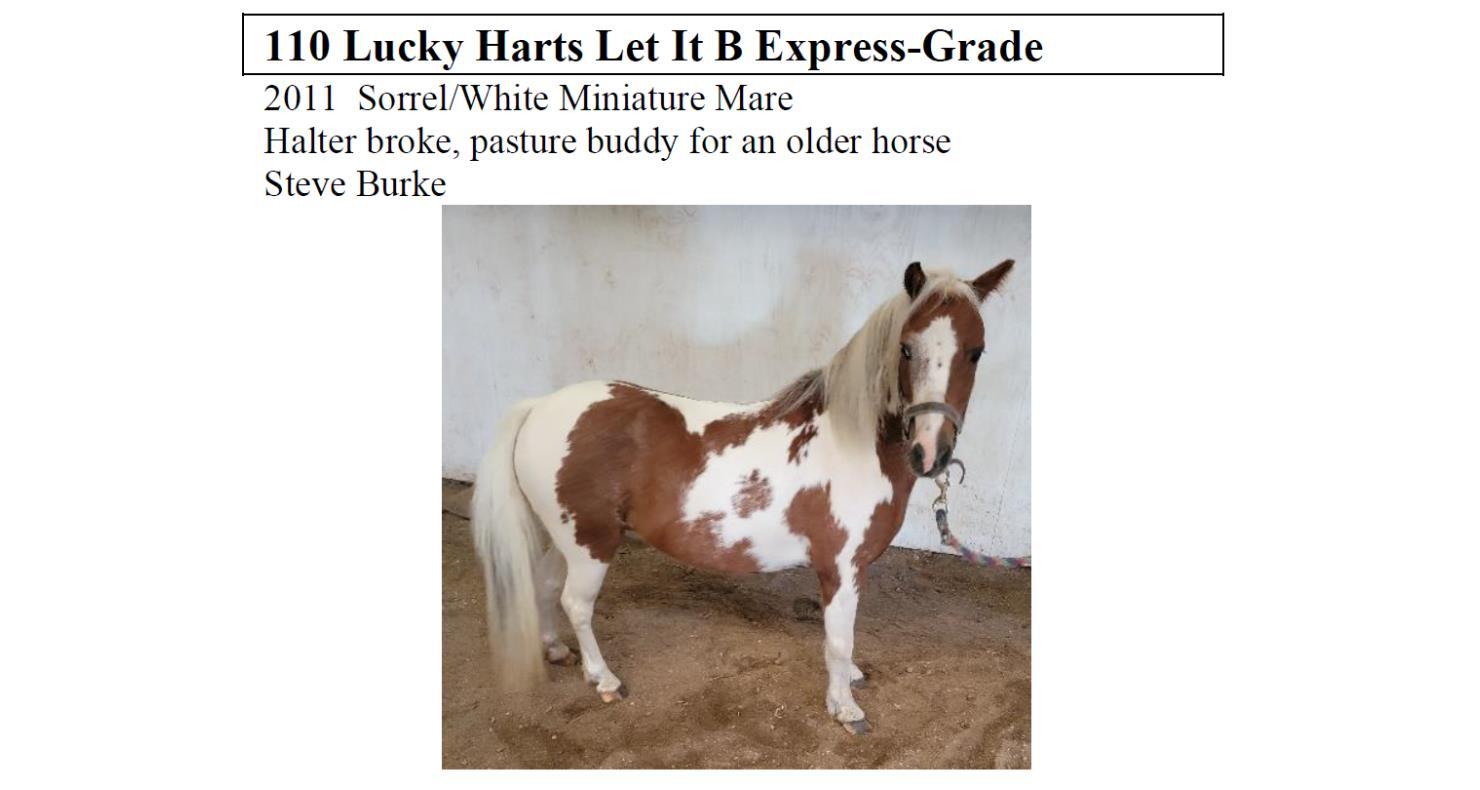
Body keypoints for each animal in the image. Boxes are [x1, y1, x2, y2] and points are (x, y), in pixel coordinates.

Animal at [473, 259, 1016, 735]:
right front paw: (845, 709)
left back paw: (555, 650)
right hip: (591, 543)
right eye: (905, 348)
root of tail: (539, 407)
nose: (930, 452)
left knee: (546, 587)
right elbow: (839, 640)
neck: (850, 440)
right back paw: (603, 679)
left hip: (566, 537)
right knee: (577, 604)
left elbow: (841, 638)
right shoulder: (840, 567)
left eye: (976, 351)